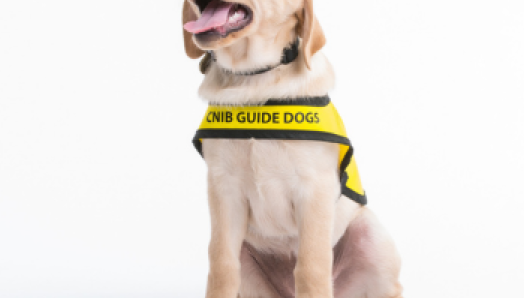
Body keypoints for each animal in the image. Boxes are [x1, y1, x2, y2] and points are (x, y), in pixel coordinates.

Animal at [182, 0, 404, 298]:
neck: (255, 80)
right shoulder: (223, 187)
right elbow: (221, 264)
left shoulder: (314, 189)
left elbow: (311, 267)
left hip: (370, 233)